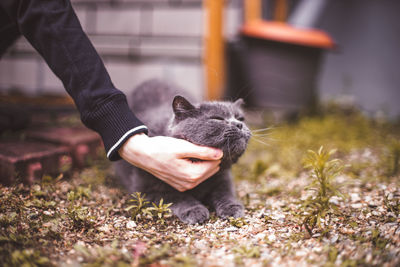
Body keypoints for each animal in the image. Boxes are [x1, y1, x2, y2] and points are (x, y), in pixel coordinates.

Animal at [115, 79, 250, 224]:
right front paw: (195, 210)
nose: (239, 124)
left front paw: (232, 207)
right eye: (217, 118)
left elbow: (225, 193)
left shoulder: (223, 178)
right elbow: (179, 197)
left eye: (240, 118)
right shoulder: (148, 190)